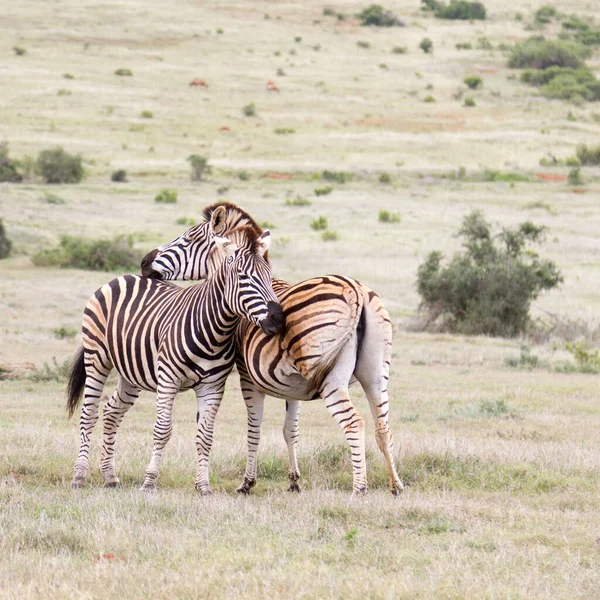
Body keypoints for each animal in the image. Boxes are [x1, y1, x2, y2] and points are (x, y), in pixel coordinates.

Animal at [65, 213, 284, 494]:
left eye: (269, 276)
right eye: (243, 277)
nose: (278, 319)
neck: (215, 329)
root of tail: (122, 277)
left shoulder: (213, 386)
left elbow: (205, 436)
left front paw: (203, 486)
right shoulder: (168, 379)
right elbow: (162, 430)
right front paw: (149, 482)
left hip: (132, 373)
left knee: (112, 412)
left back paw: (110, 476)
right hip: (97, 360)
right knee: (89, 414)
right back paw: (79, 476)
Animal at [141, 204, 404, 494]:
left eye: (187, 238)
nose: (144, 262)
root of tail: (356, 291)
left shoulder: (247, 378)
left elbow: (254, 429)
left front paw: (247, 483)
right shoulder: (296, 387)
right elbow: (290, 430)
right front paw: (294, 481)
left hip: (332, 378)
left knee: (355, 423)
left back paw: (359, 488)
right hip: (376, 373)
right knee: (383, 426)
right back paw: (396, 485)